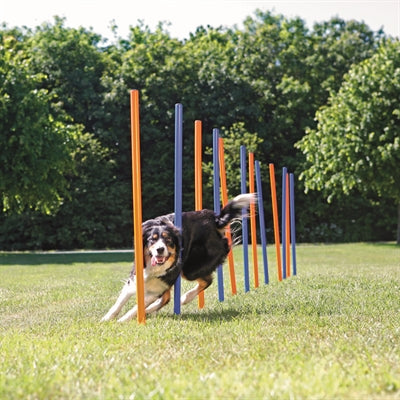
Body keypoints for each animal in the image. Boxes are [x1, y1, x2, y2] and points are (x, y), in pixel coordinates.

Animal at [101, 193, 255, 322]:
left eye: (168, 240)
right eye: (152, 240)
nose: (160, 249)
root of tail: (215, 220)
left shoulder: (159, 287)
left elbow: (137, 306)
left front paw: (124, 320)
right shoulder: (136, 279)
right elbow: (119, 302)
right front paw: (106, 319)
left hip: (190, 269)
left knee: (206, 280)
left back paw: (184, 298)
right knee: (167, 298)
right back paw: (154, 310)